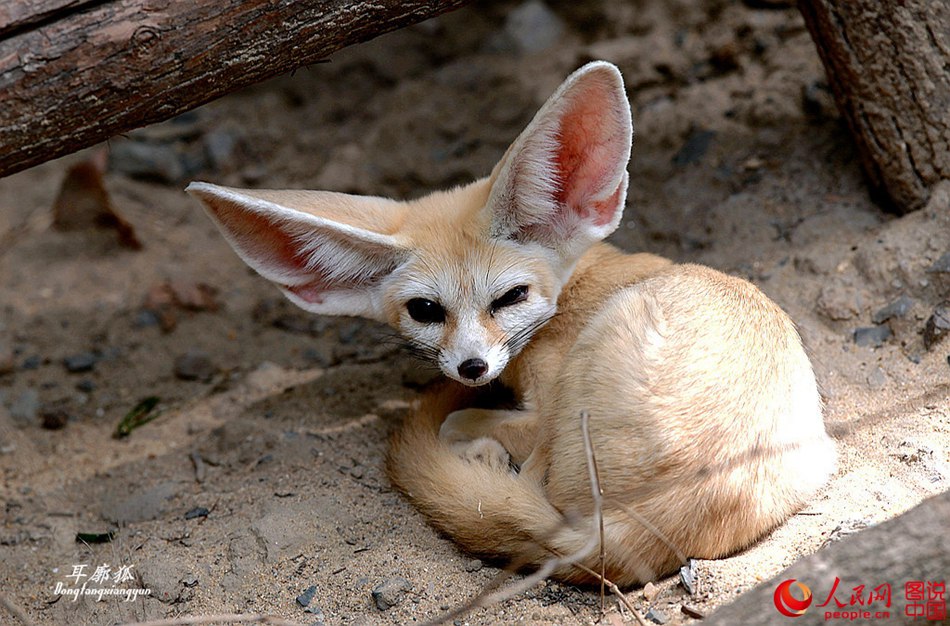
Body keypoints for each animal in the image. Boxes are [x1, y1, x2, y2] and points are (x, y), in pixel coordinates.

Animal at [187, 61, 836, 587]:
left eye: (511, 297)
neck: (580, 284)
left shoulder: (543, 406)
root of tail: (661, 521)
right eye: (425, 311)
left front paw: (479, 438)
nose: (471, 366)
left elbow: (468, 422)